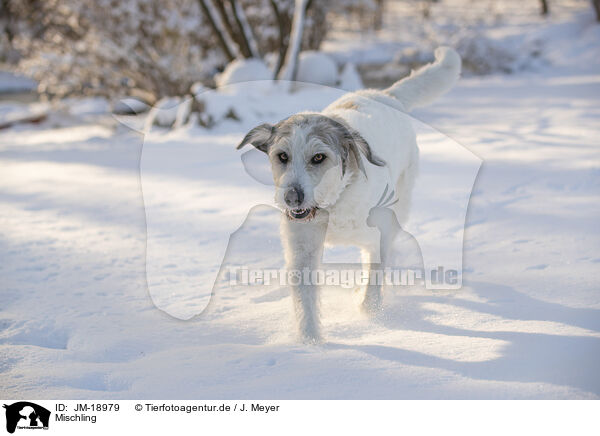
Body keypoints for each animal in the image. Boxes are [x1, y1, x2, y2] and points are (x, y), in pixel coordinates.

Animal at [237, 46, 462, 340]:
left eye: (318, 157)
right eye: (282, 156)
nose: (292, 198)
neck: (333, 205)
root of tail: (385, 95)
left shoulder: (379, 233)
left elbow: (375, 277)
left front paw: (371, 312)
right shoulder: (302, 247)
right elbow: (305, 298)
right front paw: (310, 341)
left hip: (400, 205)